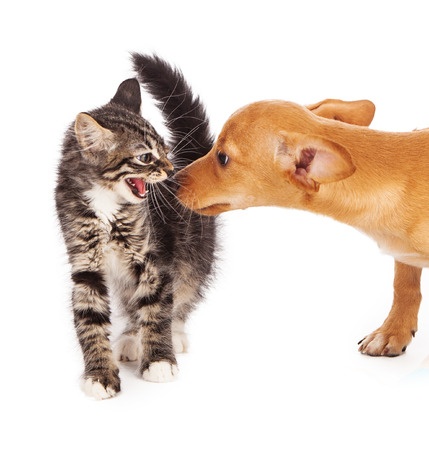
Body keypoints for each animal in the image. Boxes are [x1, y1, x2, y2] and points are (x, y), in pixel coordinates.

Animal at [56, 54, 217, 400]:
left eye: (165, 150)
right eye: (145, 157)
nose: (169, 170)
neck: (105, 202)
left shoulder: (153, 258)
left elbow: (157, 309)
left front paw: (159, 361)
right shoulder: (85, 263)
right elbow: (90, 319)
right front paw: (99, 374)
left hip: (195, 251)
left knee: (183, 293)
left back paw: (174, 333)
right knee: (132, 305)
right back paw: (131, 337)